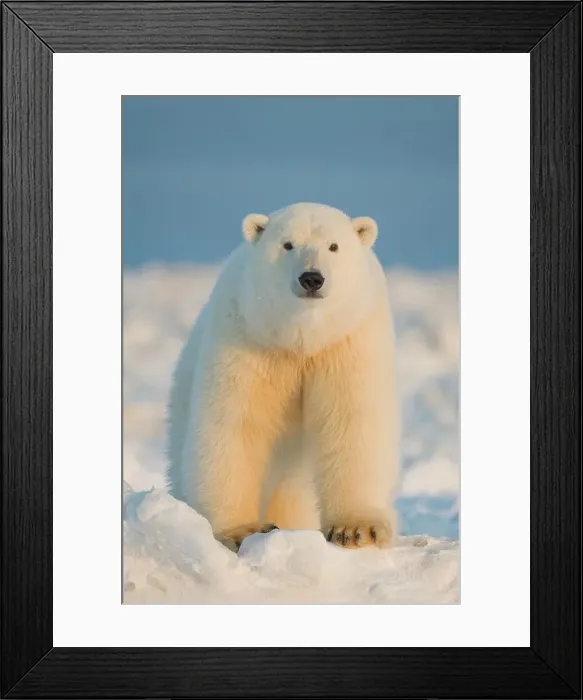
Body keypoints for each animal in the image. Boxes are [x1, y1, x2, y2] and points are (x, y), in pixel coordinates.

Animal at [166, 202, 399, 552]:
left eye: (334, 246)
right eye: (287, 244)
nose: (312, 278)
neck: (300, 339)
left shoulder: (347, 340)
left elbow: (351, 418)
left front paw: (357, 529)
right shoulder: (250, 337)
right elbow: (235, 423)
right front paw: (243, 530)